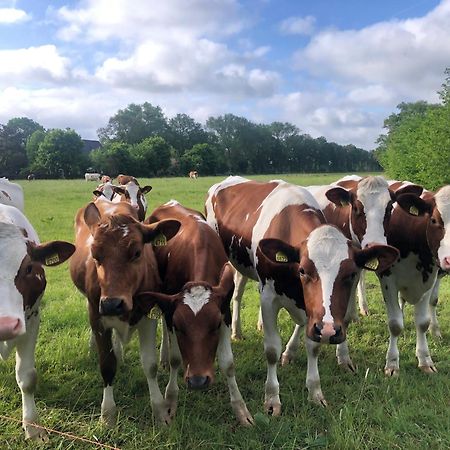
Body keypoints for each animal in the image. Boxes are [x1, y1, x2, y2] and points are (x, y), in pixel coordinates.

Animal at [68, 197, 179, 426]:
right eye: (95, 255)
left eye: (137, 252)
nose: (112, 304)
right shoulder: (98, 318)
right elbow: (107, 365)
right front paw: (108, 413)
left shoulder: (147, 317)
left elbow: (150, 364)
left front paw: (159, 410)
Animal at [139, 200, 253, 426]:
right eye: (180, 327)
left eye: (215, 325)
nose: (198, 381)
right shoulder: (170, 311)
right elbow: (176, 359)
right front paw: (170, 401)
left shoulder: (225, 311)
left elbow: (228, 363)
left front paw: (241, 410)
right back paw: (164, 356)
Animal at [205, 176, 398, 412]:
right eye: (303, 270)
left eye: (351, 273)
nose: (329, 329)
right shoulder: (269, 297)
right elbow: (271, 349)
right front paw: (272, 398)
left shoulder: (314, 313)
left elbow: (313, 346)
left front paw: (315, 391)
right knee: (237, 293)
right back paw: (237, 331)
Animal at [376, 185, 450, 374]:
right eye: (433, 220)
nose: (449, 260)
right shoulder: (387, 277)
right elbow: (395, 324)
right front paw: (392, 363)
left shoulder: (429, 278)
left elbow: (423, 322)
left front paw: (425, 360)